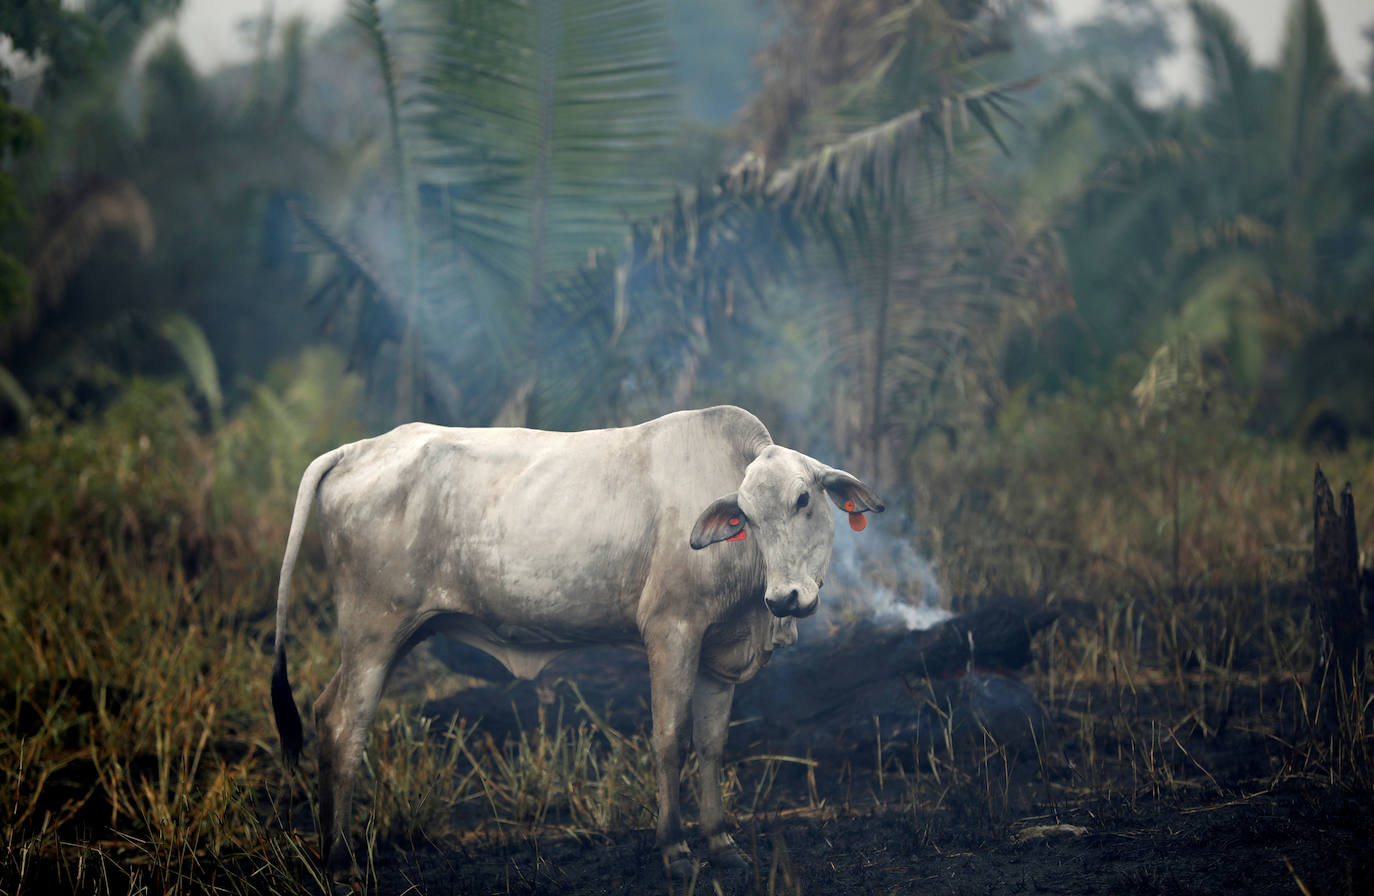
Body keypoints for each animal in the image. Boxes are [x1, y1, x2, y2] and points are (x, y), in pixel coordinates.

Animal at [270, 405, 883, 881]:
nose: (784, 598)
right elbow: (669, 740)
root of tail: (357, 449)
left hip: (388, 635)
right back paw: (341, 860)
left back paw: (327, 849)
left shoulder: (717, 650)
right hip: (374, 628)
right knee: (346, 726)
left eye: (804, 500)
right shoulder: (672, 631)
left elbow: (710, 745)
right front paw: (676, 851)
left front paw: (721, 844)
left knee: (324, 711)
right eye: (747, 516)